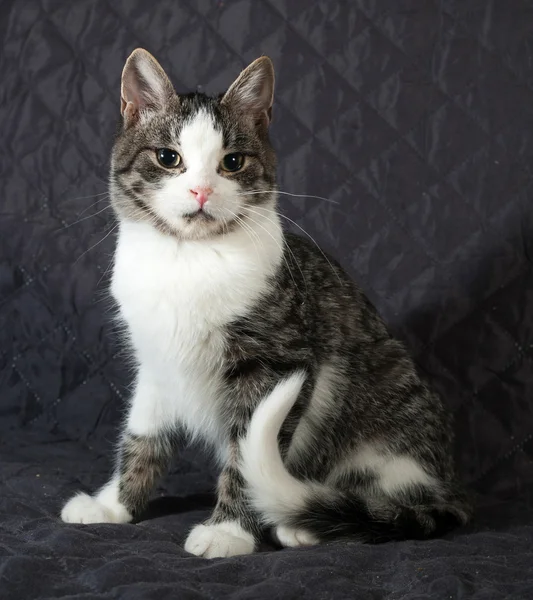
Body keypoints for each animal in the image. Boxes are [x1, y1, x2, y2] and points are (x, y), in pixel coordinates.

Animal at [60, 48, 472, 556]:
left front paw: (229, 530)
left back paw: (309, 522)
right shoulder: (155, 362)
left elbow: (244, 453)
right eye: (168, 157)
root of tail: (450, 489)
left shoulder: (276, 362)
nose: (201, 190)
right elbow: (143, 434)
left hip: (389, 437)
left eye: (233, 162)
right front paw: (113, 505)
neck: (187, 260)